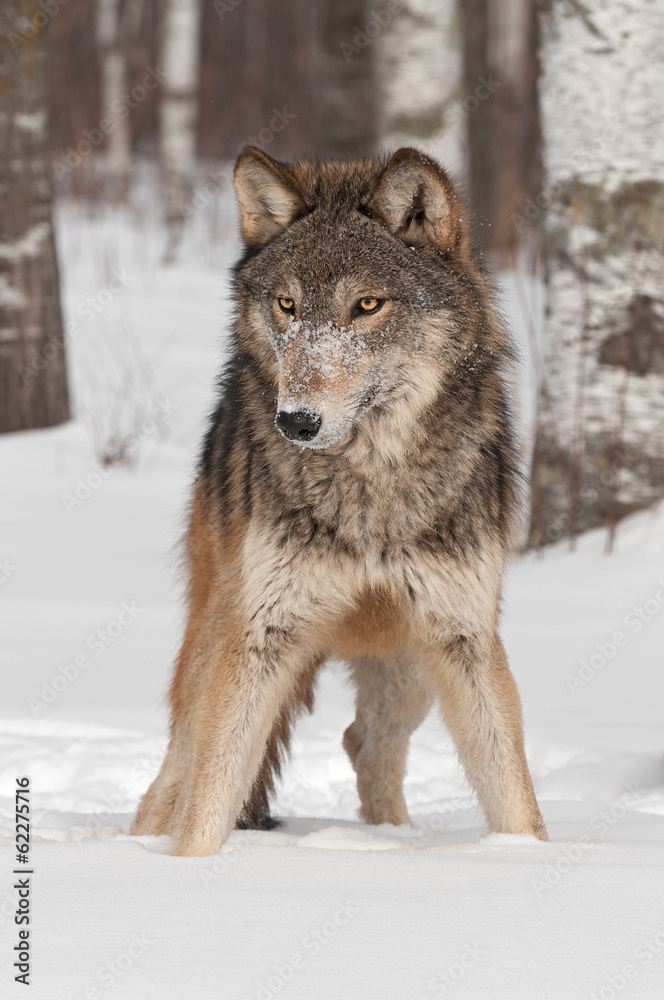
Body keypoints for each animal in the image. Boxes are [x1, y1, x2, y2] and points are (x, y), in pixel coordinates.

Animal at [132, 146, 547, 856]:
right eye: (287, 305)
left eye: (367, 304)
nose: (295, 421)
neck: (370, 484)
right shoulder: (261, 637)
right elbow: (210, 797)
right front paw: (191, 869)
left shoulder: (465, 636)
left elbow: (516, 798)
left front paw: (531, 859)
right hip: (215, 641)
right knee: (172, 777)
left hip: (411, 670)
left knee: (365, 744)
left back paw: (391, 837)